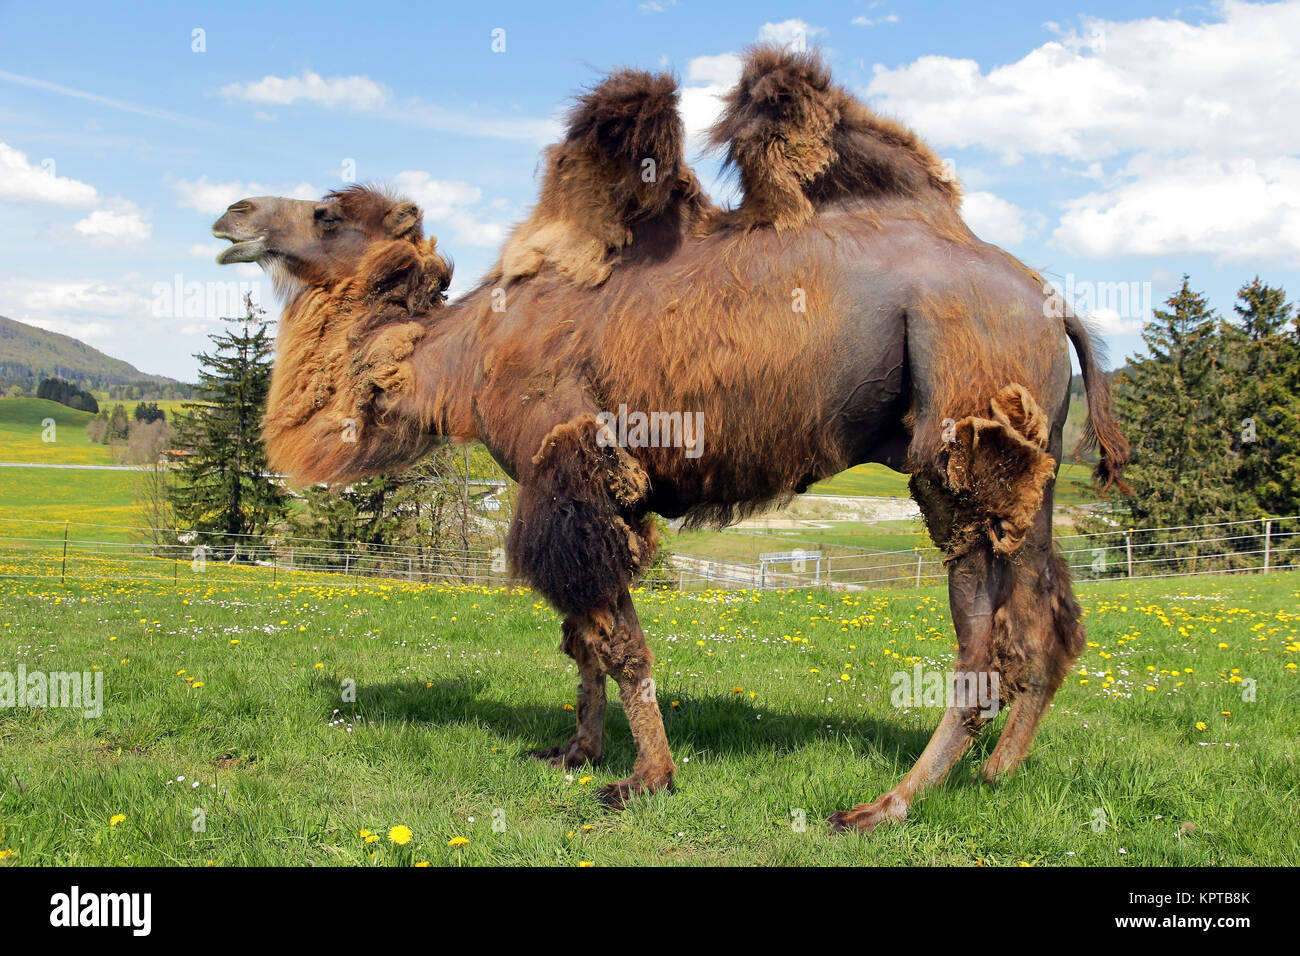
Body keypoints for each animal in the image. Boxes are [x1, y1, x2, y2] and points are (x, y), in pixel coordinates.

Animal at [213, 48, 1128, 832]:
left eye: (327, 212)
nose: (232, 213)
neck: (461, 356)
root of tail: (1054, 301)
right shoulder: (563, 483)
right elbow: (580, 635)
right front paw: (574, 751)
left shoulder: (572, 465)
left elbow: (615, 640)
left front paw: (645, 777)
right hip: (1028, 473)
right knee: (1045, 620)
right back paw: (995, 773)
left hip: (960, 447)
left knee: (986, 639)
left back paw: (886, 805)